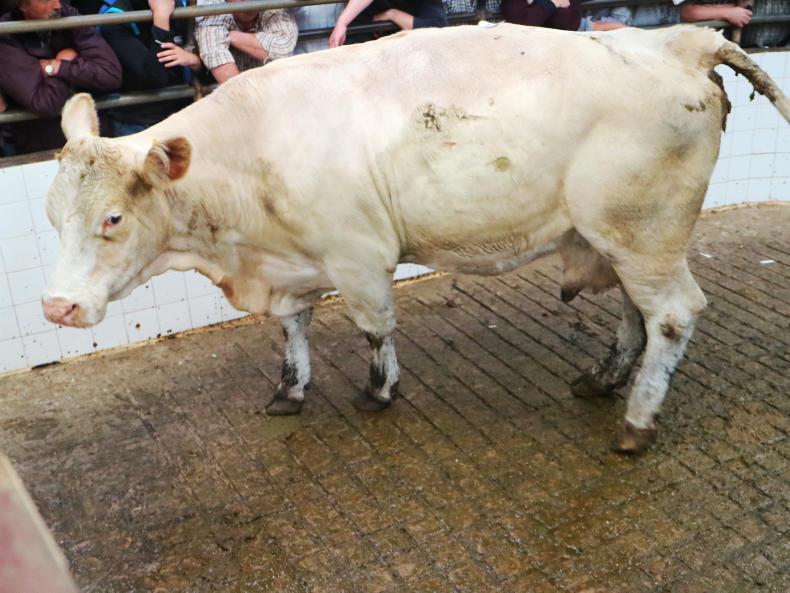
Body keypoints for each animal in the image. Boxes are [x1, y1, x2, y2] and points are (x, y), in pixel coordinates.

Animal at [42, 24, 790, 452]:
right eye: (52, 215)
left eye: (112, 219)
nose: (57, 307)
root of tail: (680, 39)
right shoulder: (292, 261)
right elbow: (292, 330)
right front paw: (290, 390)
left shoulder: (357, 254)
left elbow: (374, 328)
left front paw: (379, 392)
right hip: (624, 237)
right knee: (638, 312)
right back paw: (603, 379)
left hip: (643, 229)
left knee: (673, 315)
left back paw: (636, 421)